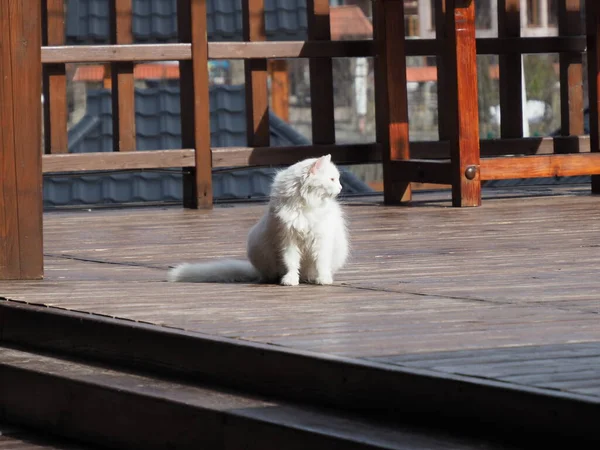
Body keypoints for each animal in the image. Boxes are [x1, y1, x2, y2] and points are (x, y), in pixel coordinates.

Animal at [168, 155, 346, 286]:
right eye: (332, 179)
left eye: (336, 179)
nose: (341, 188)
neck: (304, 205)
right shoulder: (287, 238)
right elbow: (291, 262)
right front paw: (290, 280)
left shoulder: (321, 239)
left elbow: (321, 262)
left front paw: (323, 279)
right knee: (271, 274)